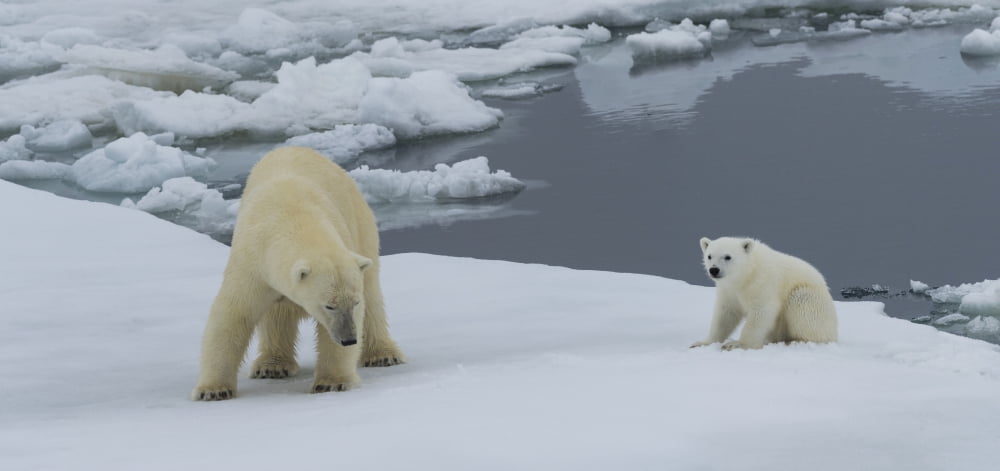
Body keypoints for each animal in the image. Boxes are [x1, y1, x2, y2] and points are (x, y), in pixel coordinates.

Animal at [192, 146, 405, 401]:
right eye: (329, 305)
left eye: (354, 303)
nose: (349, 339)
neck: (293, 217)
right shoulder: (252, 262)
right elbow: (233, 315)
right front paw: (213, 390)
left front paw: (331, 383)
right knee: (276, 316)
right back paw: (272, 366)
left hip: (361, 223)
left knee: (372, 295)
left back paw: (383, 355)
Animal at [690, 237, 838, 350]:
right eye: (709, 256)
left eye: (728, 257)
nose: (714, 270)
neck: (746, 275)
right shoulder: (728, 290)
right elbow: (725, 314)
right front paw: (702, 343)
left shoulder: (763, 282)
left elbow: (762, 311)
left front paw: (736, 344)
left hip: (812, 300)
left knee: (801, 303)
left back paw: (793, 340)